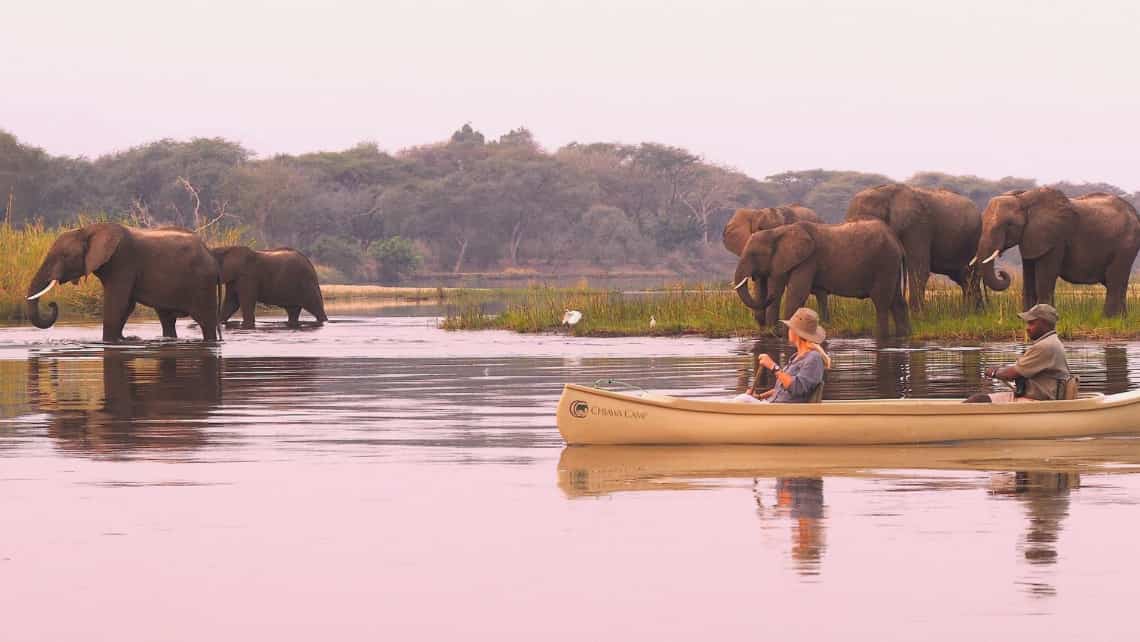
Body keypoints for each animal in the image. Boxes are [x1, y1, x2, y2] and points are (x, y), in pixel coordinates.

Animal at [734, 220, 912, 342]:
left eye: (755, 254)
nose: (754, 276)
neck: (779, 231)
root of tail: (898, 243)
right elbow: (814, 294)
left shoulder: (807, 260)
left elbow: (795, 294)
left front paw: (785, 335)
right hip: (892, 267)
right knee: (897, 301)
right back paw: (904, 336)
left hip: (884, 263)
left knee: (881, 302)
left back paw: (881, 338)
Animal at [843, 184, 984, 312]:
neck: (886, 194)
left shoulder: (916, 227)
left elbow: (919, 270)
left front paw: (917, 317)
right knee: (962, 276)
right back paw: (971, 310)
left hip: (973, 241)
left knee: (970, 274)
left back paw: (975, 311)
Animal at [971, 187, 1140, 317]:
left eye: (1009, 225)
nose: (1002, 273)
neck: (1024, 198)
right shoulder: (1030, 237)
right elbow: (1028, 277)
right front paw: (1025, 316)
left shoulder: (1055, 238)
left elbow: (1045, 276)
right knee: (1117, 283)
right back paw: (1122, 318)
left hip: (1126, 244)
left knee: (1114, 280)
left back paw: (1109, 319)